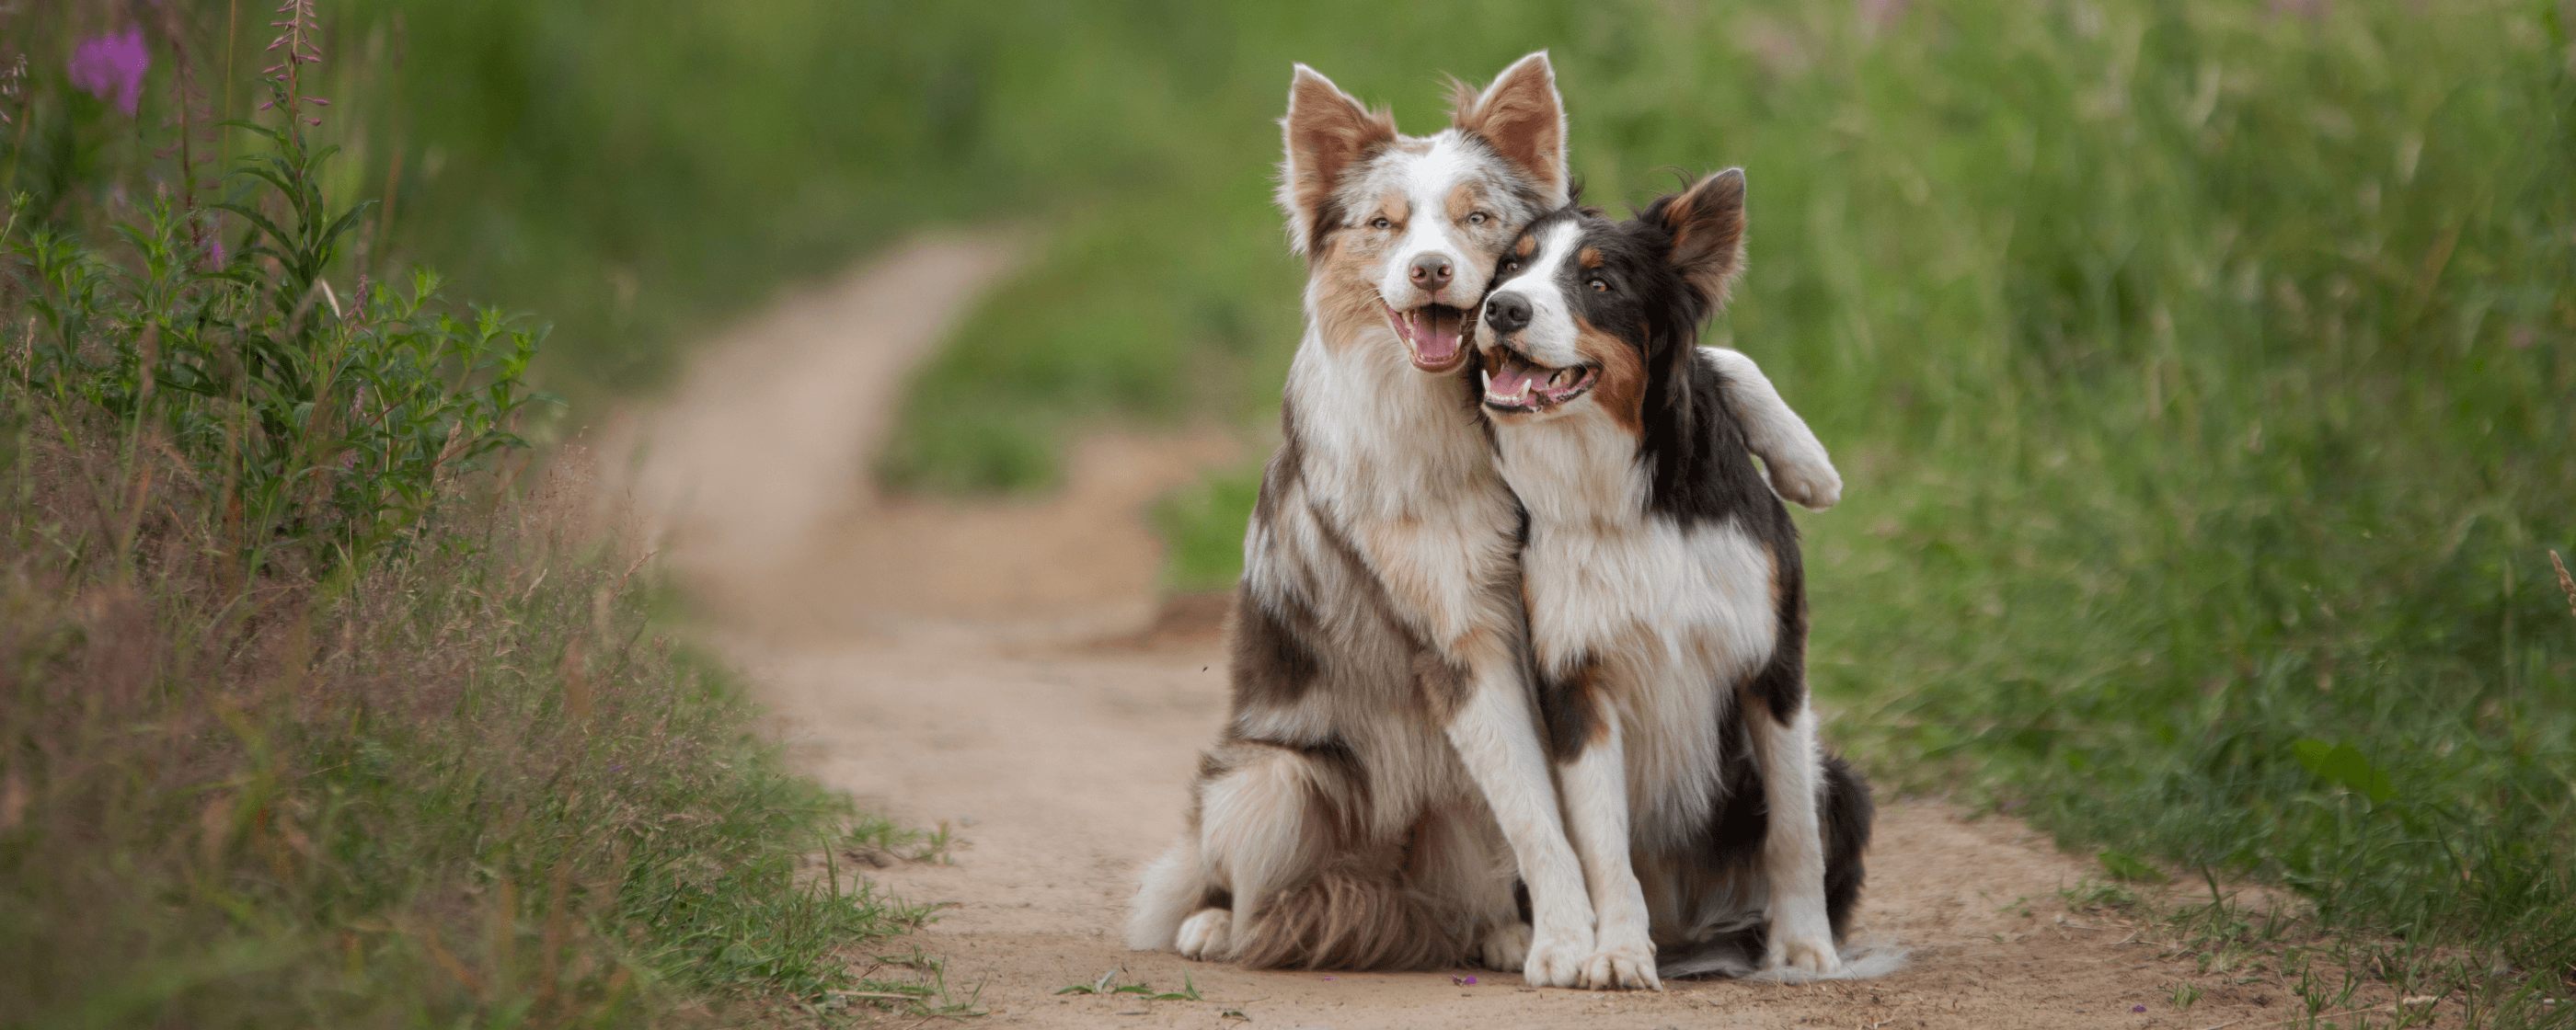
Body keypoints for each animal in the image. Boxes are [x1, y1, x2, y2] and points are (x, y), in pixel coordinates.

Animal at [1128, 52, 1607, 983]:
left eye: (1477, 218)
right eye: (1384, 224)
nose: (1430, 270)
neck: (1467, 422)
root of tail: (1390, 884)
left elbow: (1557, 802)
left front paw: (1565, 933)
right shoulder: (1461, 639)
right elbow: (1537, 809)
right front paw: (1572, 942)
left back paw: (1500, 929)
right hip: (1272, 782)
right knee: (1228, 873)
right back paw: (1215, 922)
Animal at [1473, 172, 1875, 983]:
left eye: (1599, 282)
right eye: (1510, 267)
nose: (1503, 309)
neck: (1623, 495)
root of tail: (1689, 925)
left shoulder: (1773, 662)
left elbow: (1794, 828)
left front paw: (1802, 946)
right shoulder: (1575, 679)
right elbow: (1601, 845)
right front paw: (1619, 954)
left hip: (1845, 785)